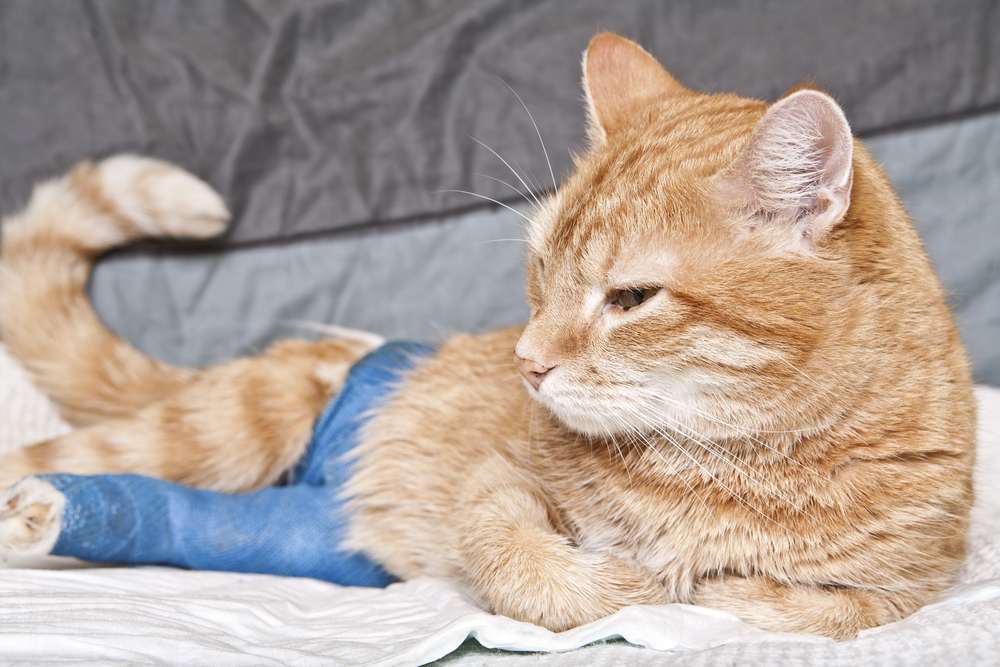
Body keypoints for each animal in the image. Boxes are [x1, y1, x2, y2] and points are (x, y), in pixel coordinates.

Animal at [0, 34, 972, 640]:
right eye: (541, 268)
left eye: (630, 297)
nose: (526, 362)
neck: (729, 460)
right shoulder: (496, 477)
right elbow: (515, 556)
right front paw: (619, 585)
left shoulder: (906, 589)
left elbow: (779, 604)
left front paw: (700, 585)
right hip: (226, 429)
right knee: (71, 458)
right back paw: (40, 507)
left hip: (310, 531)